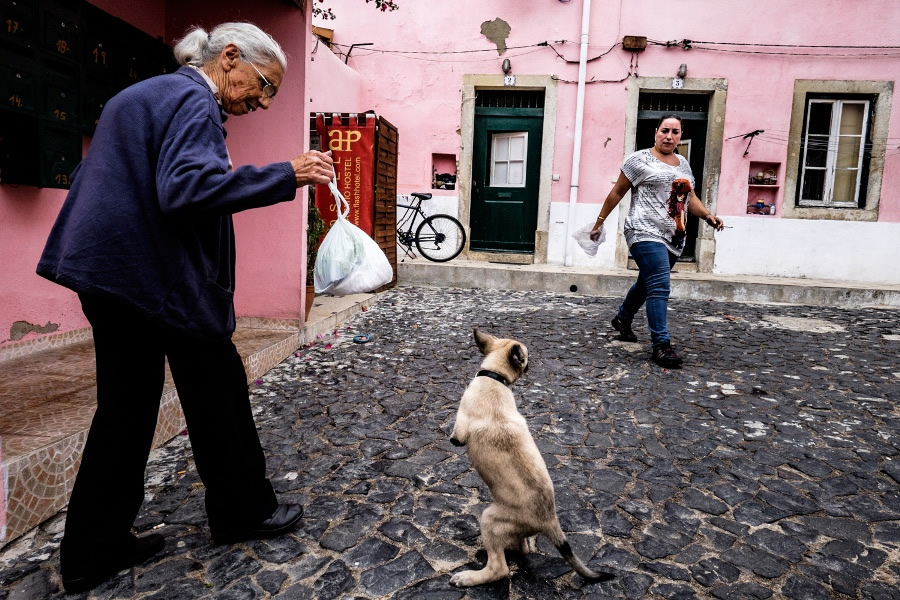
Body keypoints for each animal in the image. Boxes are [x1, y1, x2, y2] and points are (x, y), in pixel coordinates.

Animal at [450, 328, 612, 584]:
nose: (531, 364)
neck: (495, 377)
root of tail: (550, 521)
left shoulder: (458, 432)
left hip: (489, 519)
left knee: (499, 568)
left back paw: (468, 577)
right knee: (521, 548)